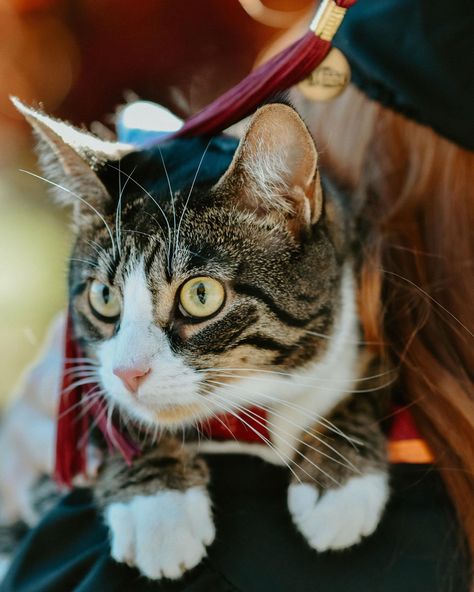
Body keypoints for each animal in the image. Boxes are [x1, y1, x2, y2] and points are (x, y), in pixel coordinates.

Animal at [12, 99, 388, 580]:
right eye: (104, 297)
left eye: (201, 295)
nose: (129, 372)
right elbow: (106, 407)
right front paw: (158, 509)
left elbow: (370, 386)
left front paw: (338, 484)